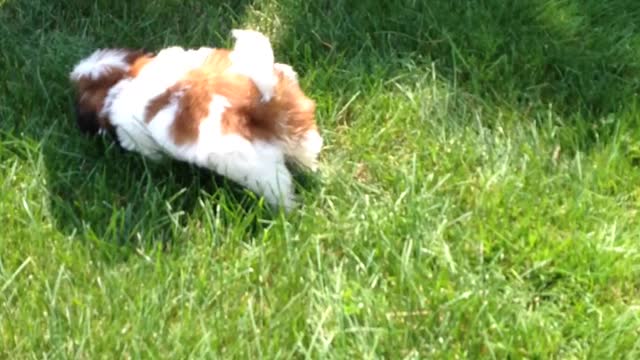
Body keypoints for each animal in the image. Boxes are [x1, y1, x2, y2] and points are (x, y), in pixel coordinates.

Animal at [69, 31, 324, 212]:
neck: (123, 79)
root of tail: (260, 99)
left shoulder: (137, 137)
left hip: (252, 166)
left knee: (277, 187)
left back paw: (285, 210)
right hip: (295, 119)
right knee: (304, 152)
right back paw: (311, 173)